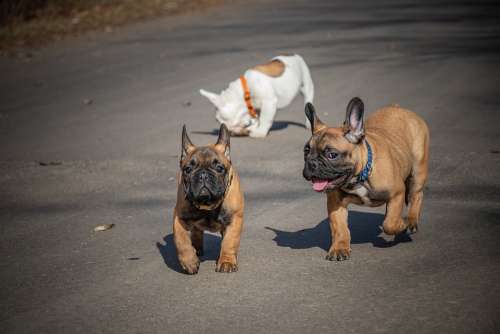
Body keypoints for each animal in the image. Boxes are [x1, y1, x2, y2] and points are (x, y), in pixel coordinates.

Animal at [174, 124, 244, 272]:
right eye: (188, 169)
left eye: (219, 168)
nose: (203, 175)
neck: (208, 204)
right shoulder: (179, 218)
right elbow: (181, 240)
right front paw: (189, 261)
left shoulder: (234, 219)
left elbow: (230, 241)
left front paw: (227, 261)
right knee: (196, 231)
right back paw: (196, 249)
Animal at [302, 98, 428, 260]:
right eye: (306, 151)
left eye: (332, 155)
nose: (311, 163)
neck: (359, 178)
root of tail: (400, 109)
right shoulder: (335, 203)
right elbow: (339, 227)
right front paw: (339, 248)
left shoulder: (397, 192)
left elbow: (390, 224)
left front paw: (402, 224)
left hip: (418, 170)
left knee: (416, 196)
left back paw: (411, 221)